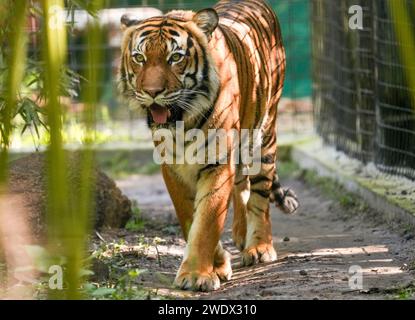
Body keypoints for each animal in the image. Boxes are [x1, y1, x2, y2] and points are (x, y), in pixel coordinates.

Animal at [119, 0, 300, 292]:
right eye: (139, 58)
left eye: (175, 58)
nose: (152, 92)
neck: (182, 123)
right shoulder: (172, 167)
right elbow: (190, 218)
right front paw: (219, 264)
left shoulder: (217, 162)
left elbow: (207, 221)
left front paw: (195, 276)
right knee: (241, 186)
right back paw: (240, 234)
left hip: (264, 135)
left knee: (260, 195)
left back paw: (259, 247)